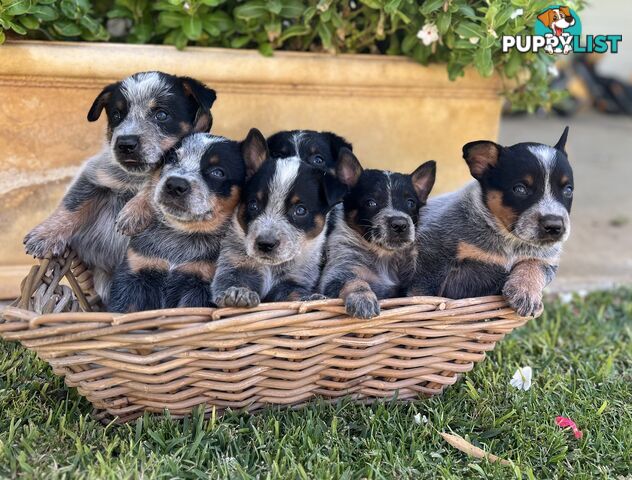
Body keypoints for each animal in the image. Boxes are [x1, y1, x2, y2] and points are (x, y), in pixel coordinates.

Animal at [24, 71, 217, 300]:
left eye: (161, 114)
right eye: (117, 115)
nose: (125, 143)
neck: (136, 178)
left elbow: (158, 182)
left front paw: (133, 211)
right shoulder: (95, 177)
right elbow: (72, 205)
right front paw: (44, 235)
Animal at [108, 130, 264, 312]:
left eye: (218, 172)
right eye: (172, 158)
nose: (175, 184)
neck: (179, 235)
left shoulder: (199, 285)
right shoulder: (134, 273)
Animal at [215, 145, 348, 308]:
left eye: (300, 210)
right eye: (253, 205)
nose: (265, 244)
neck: (270, 268)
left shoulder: (293, 281)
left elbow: (296, 294)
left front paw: (311, 298)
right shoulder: (234, 268)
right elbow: (233, 283)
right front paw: (239, 293)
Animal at [318, 151, 436, 318]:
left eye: (411, 203)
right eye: (371, 202)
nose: (400, 225)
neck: (384, 257)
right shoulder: (336, 274)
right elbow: (355, 281)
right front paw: (363, 299)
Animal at [408, 127, 576, 316]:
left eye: (568, 190)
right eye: (520, 189)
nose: (554, 226)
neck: (508, 241)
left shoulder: (548, 259)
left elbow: (535, 264)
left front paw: (526, 293)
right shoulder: (433, 252)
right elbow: (421, 290)